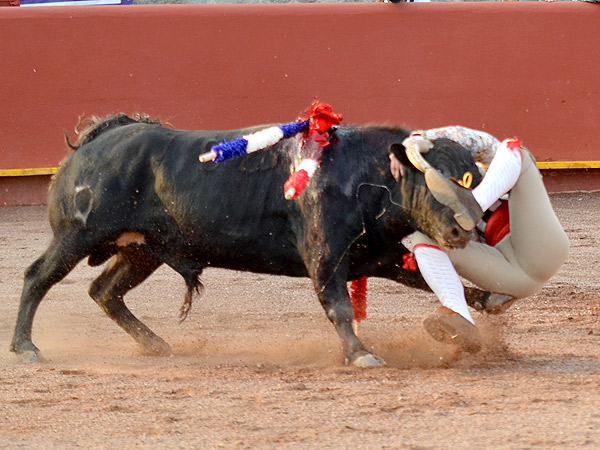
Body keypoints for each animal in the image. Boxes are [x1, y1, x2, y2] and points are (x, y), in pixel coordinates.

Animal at [10, 114, 492, 368]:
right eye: (432, 182)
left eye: (472, 178)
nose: (466, 230)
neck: (363, 177)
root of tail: (99, 139)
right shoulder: (325, 259)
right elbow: (338, 307)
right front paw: (360, 354)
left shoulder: (377, 257)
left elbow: (428, 281)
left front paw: (485, 302)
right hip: (77, 234)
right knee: (38, 276)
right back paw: (25, 347)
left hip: (143, 250)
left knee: (104, 290)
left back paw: (155, 345)